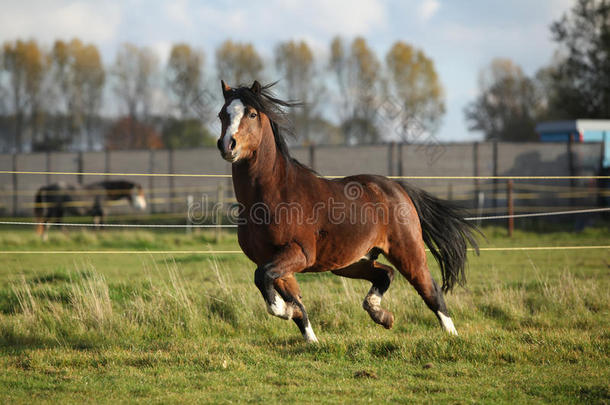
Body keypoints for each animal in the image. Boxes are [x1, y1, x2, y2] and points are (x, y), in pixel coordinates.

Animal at [216, 80, 478, 342]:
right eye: (221, 114)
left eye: (251, 114)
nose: (228, 145)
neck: (273, 194)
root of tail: (397, 187)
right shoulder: (275, 262)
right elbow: (291, 298)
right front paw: (309, 337)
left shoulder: (300, 253)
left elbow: (264, 279)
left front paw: (286, 310)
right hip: (350, 262)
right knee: (386, 274)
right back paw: (381, 315)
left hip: (408, 253)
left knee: (431, 291)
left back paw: (451, 335)